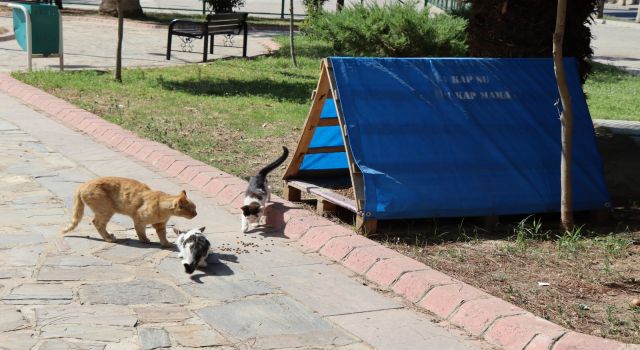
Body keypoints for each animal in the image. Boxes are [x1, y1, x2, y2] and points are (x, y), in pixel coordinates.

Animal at [63, 176, 198, 247]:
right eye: (192, 209)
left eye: (195, 208)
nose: (196, 214)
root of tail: (82, 185)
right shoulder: (138, 219)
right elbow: (141, 232)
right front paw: (145, 240)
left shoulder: (160, 225)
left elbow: (163, 235)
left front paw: (166, 243)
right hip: (106, 211)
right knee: (97, 223)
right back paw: (109, 238)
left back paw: (110, 235)